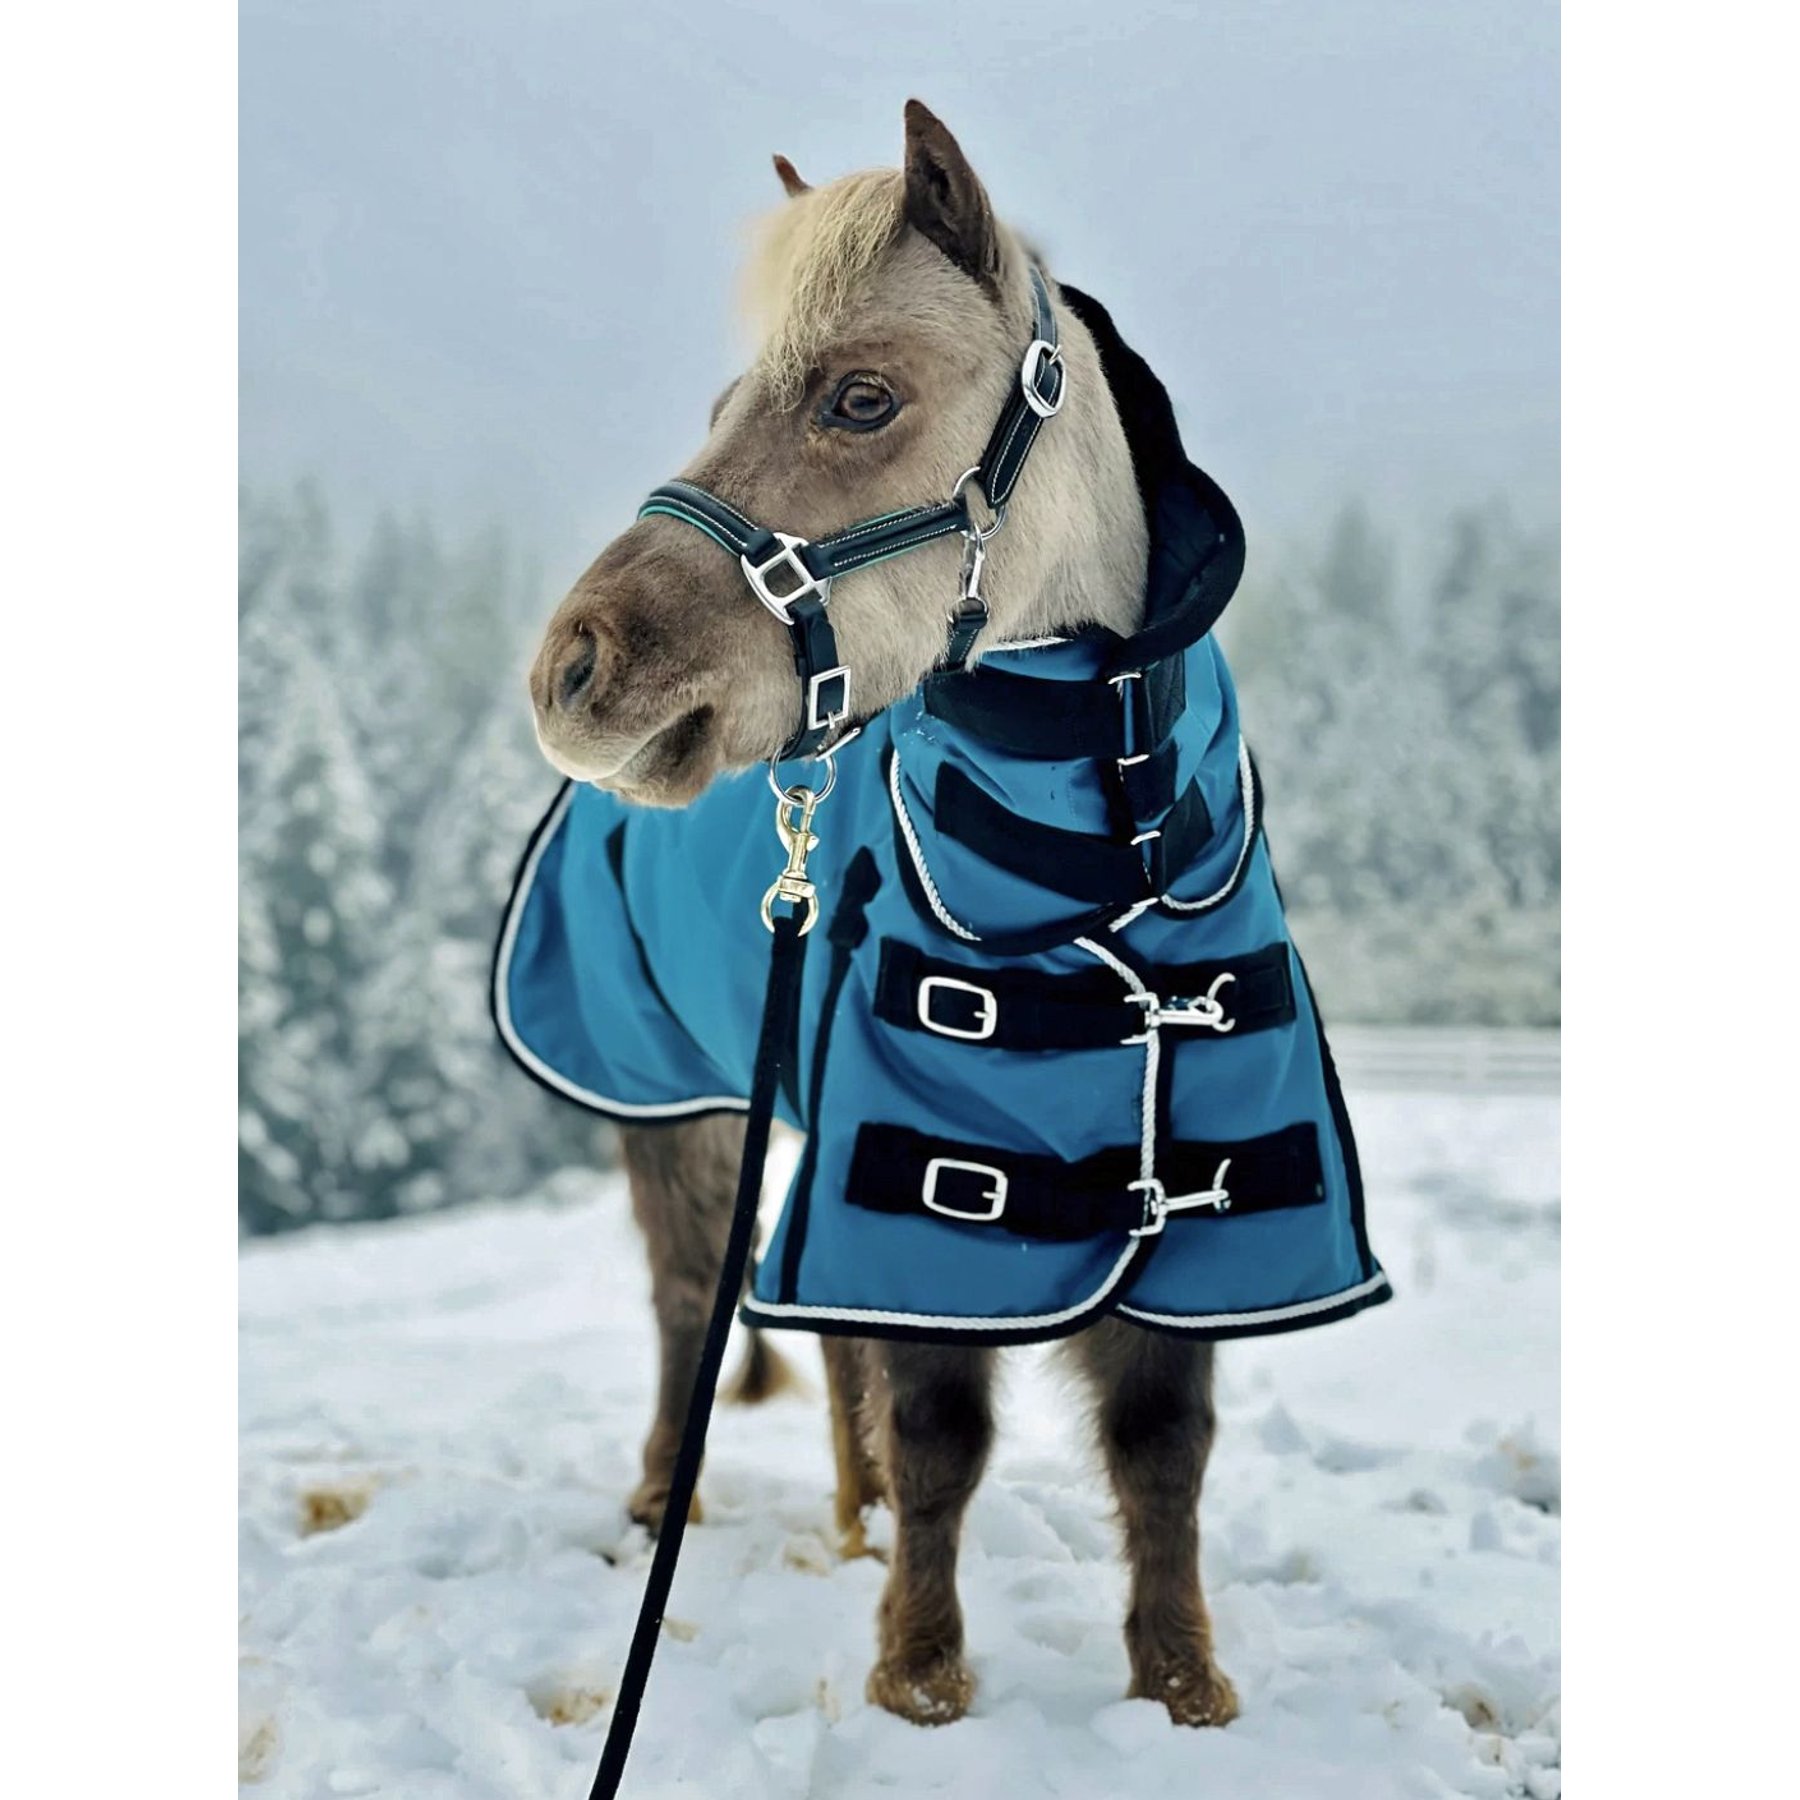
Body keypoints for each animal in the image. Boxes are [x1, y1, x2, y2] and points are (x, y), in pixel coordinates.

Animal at [498, 98, 1387, 1731]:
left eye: (861, 399)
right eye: (721, 400)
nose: (574, 672)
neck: (1108, 864)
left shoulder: (1205, 1208)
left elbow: (1164, 1441)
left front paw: (1181, 1684)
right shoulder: (916, 1179)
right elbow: (939, 1429)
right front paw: (921, 1673)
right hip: (675, 1109)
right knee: (687, 1299)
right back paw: (666, 1499)